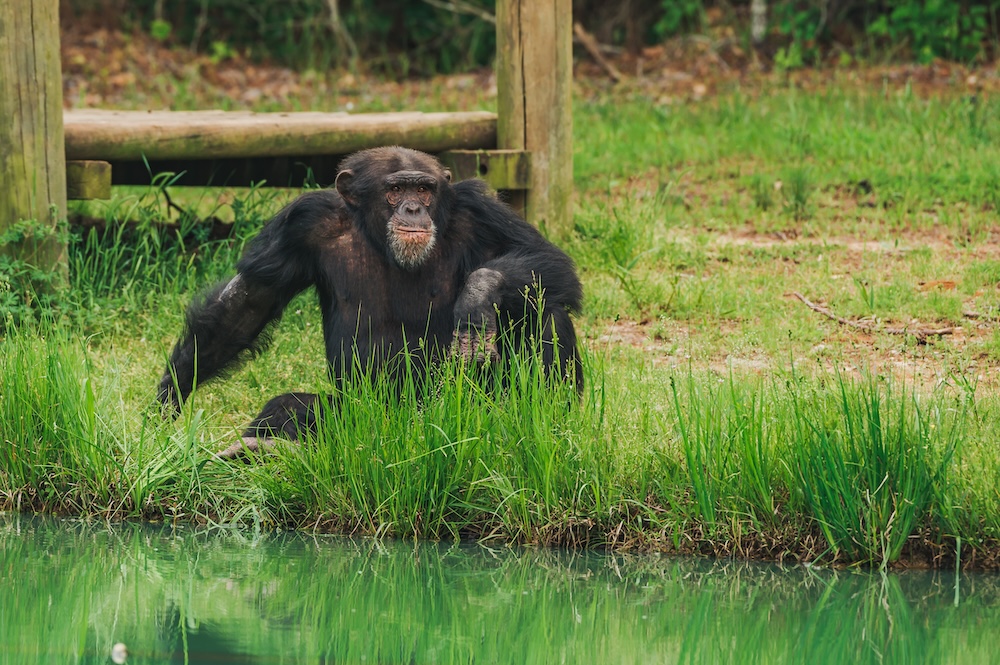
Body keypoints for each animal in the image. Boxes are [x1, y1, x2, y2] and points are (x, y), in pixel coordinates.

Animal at [159, 145, 584, 456]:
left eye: (424, 189)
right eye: (395, 190)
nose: (413, 208)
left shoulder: (478, 210)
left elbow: (546, 257)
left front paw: (477, 294)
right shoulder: (303, 222)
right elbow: (249, 302)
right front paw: (168, 399)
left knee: (546, 310)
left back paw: (550, 427)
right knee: (288, 407)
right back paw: (260, 448)